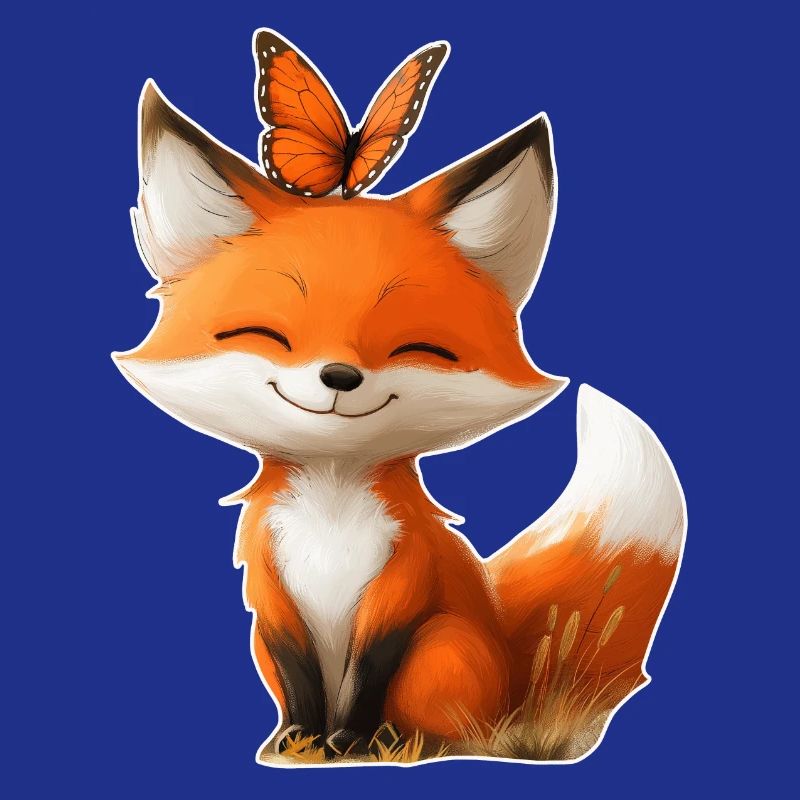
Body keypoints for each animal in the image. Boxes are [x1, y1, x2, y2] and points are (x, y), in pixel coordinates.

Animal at [114, 76, 686, 764]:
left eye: (416, 347)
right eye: (268, 335)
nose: (340, 376)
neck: (331, 508)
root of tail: (511, 672)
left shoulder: (405, 577)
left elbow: (369, 670)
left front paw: (351, 738)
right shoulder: (271, 592)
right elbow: (299, 675)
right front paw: (301, 739)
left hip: (443, 646)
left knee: (460, 726)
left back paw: (404, 740)